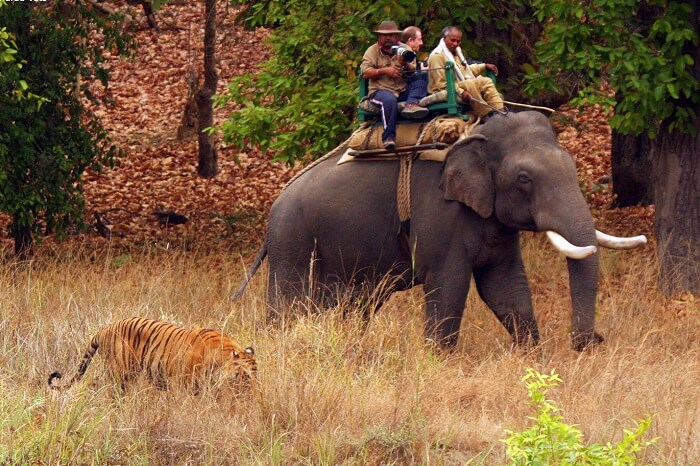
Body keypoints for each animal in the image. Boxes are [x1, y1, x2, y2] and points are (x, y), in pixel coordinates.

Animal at [48, 314, 258, 392]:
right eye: (244, 375)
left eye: (256, 374)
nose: (254, 391)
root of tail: (105, 328)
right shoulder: (183, 385)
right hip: (119, 373)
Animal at [237, 110, 644, 350]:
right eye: (524, 179)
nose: (590, 340)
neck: (472, 136)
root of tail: (275, 205)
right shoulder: (439, 215)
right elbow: (449, 284)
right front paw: (438, 357)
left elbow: (504, 285)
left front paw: (531, 355)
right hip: (292, 241)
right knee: (288, 304)